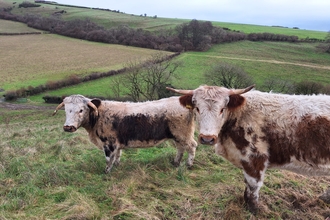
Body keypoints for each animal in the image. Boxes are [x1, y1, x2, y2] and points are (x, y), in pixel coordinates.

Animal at [51, 94, 196, 174]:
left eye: (81, 110)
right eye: (66, 110)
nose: (68, 127)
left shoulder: (109, 143)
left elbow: (109, 159)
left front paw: (106, 172)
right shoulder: (116, 143)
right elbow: (117, 156)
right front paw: (117, 166)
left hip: (183, 135)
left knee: (192, 146)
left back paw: (188, 165)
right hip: (177, 137)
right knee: (180, 148)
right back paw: (176, 162)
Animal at [168, 85, 330, 214]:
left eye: (222, 109)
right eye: (197, 108)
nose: (207, 138)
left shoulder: (255, 158)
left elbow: (253, 185)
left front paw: (253, 209)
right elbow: (247, 184)